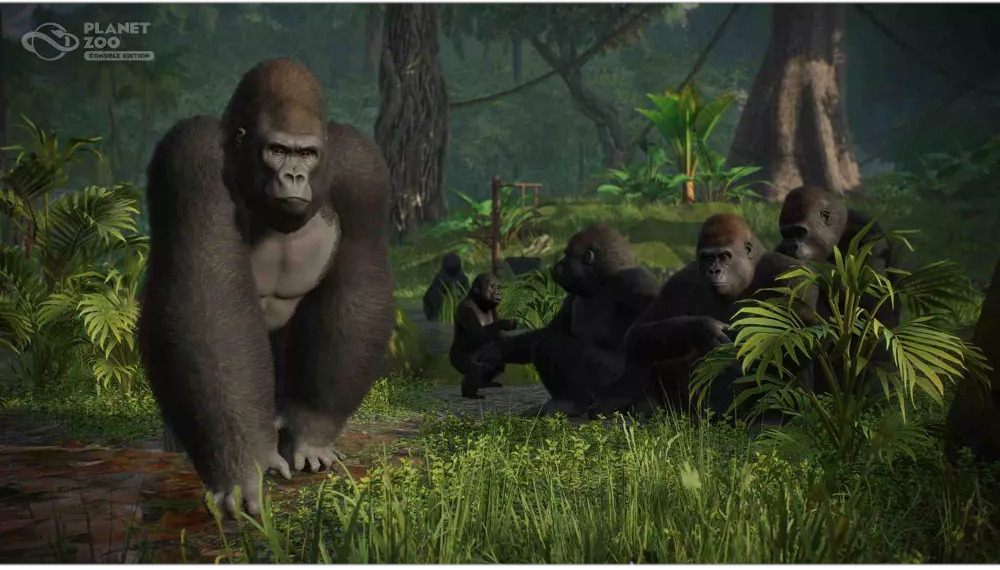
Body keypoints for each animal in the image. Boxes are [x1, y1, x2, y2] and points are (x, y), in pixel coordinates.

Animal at [139, 58, 395, 517]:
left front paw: (312, 430)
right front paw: (241, 466)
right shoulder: (190, 154)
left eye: (306, 153)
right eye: (276, 150)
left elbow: (360, 285)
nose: (293, 175)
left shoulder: (363, 169)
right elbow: (204, 296)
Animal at [474, 225, 661, 416]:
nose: (559, 263)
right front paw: (496, 350)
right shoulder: (573, 295)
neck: (602, 280)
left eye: (567, 254)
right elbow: (554, 330)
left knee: (550, 345)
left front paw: (634, 402)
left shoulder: (637, 283)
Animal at [591, 214, 818, 422]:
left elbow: (801, 336)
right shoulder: (680, 280)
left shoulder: (792, 273)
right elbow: (638, 331)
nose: (714, 270)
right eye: (707, 257)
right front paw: (703, 330)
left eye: (725, 256)